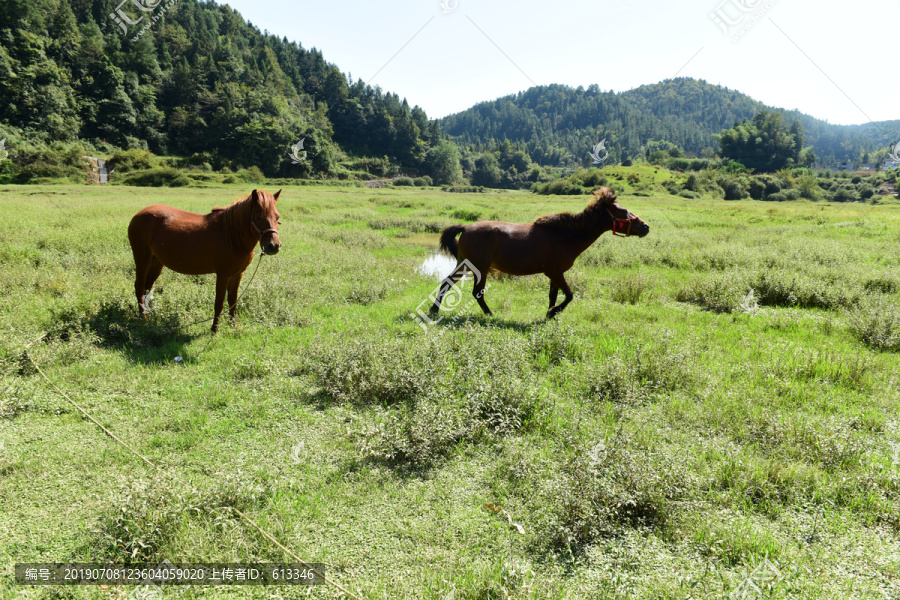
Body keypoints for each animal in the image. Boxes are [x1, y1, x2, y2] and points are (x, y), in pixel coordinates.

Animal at [127, 188, 282, 332]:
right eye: (258, 216)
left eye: (277, 217)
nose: (273, 246)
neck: (231, 235)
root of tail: (137, 215)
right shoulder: (223, 275)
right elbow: (219, 303)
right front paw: (215, 330)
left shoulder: (237, 274)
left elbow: (233, 301)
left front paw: (234, 326)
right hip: (142, 259)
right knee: (139, 286)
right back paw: (143, 318)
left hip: (156, 262)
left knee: (148, 287)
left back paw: (151, 314)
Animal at [430, 187, 649, 319]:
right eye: (623, 211)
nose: (645, 227)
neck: (565, 236)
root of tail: (466, 227)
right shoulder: (555, 272)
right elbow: (569, 295)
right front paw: (553, 312)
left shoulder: (555, 274)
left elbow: (553, 296)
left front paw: (549, 314)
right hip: (479, 269)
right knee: (477, 293)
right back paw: (490, 314)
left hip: (465, 266)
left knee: (446, 283)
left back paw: (434, 310)